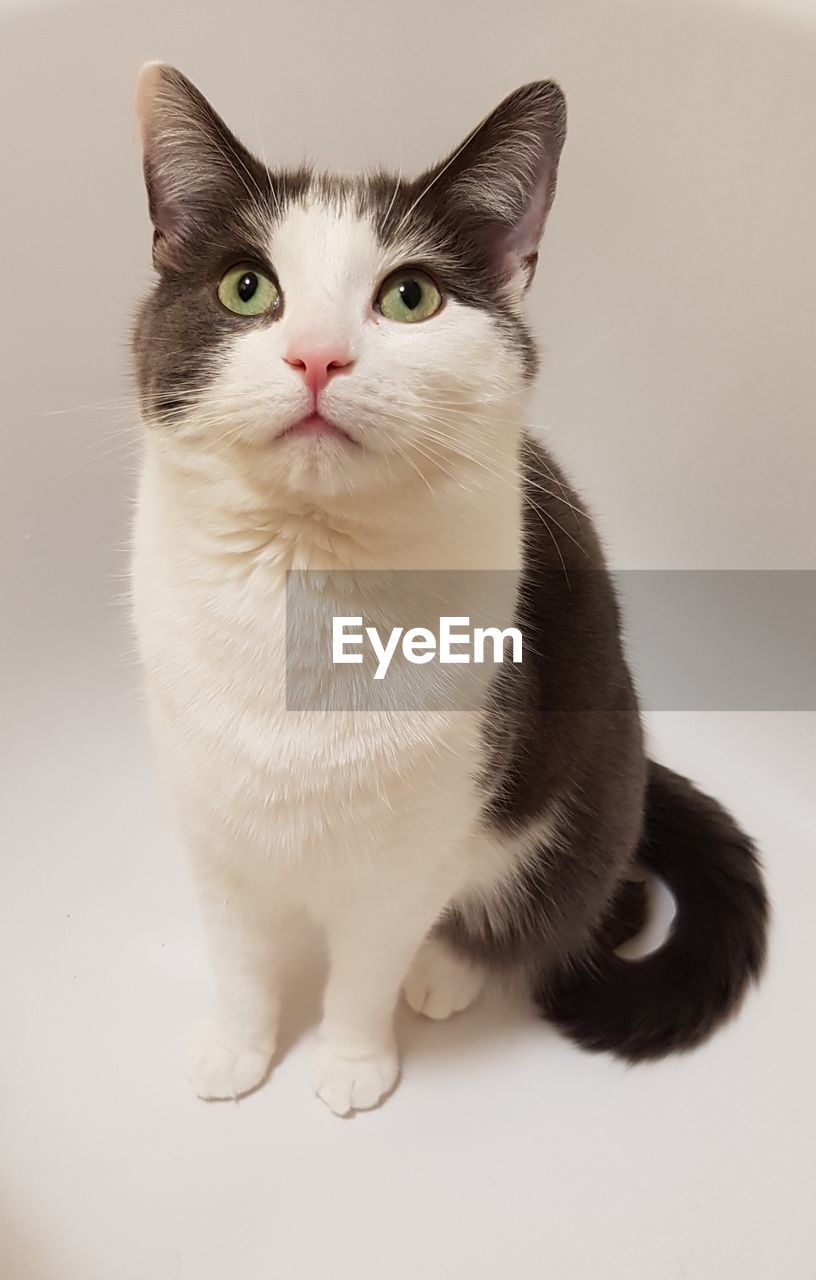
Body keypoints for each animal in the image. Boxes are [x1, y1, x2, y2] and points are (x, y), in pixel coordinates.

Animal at [131, 64, 772, 1116]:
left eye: (410, 296)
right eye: (246, 287)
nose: (316, 355)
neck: (307, 578)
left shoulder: (420, 836)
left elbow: (366, 965)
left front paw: (352, 1063)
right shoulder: (210, 816)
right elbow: (238, 953)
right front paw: (237, 1050)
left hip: (588, 782)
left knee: (596, 896)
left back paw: (452, 971)